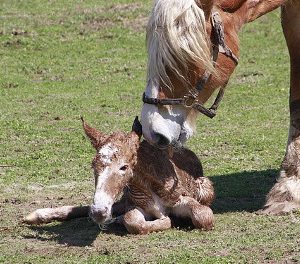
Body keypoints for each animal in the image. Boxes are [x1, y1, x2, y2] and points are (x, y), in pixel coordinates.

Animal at [24, 118, 214, 234]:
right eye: (93, 165)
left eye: (124, 167)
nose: (99, 212)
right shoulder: (136, 204)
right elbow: (133, 220)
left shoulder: (180, 198)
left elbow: (203, 216)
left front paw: (170, 219)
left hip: (206, 187)